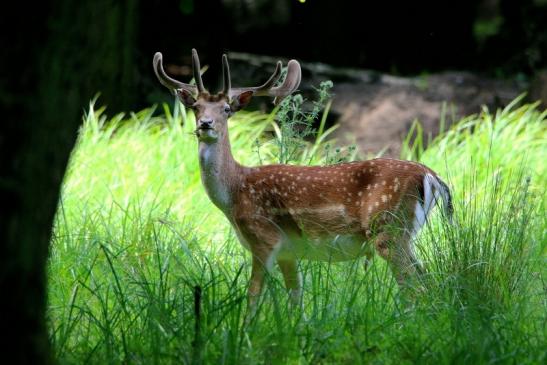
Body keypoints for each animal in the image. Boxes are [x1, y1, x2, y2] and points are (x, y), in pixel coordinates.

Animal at [153, 49, 454, 318]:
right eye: (195, 107)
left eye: (226, 109)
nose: (205, 124)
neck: (235, 191)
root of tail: (431, 176)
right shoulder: (288, 252)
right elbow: (296, 299)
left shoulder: (264, 238)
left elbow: (253, 297)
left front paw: (244, 333)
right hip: (404, 234)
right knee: (428, 280)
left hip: (388, 228)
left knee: (415, 288)